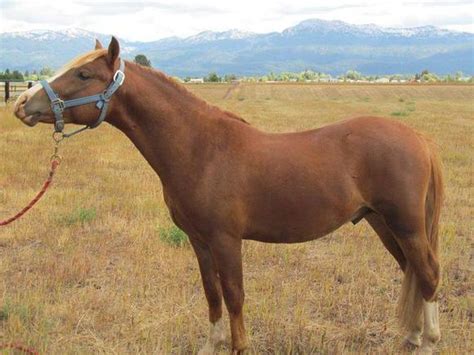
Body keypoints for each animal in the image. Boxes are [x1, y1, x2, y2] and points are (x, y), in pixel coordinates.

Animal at [13, 37, 444, 354]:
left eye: (84, 73)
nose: (22, 103)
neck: (201, 149)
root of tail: (419, 138)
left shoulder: (226, 239)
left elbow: (235, 295)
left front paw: (238, 347)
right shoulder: (199, 240)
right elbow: (212, 293)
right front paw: (213, 344)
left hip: (406, 224)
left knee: (427, 273)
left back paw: (428, 342)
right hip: (382, 223)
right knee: (411, 270)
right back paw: (412, 337)